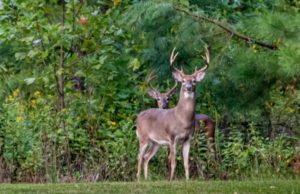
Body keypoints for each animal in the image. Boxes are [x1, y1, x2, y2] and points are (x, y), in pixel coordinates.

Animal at [136, 47, 209, 181]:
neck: (182, 119)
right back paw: (138, 180)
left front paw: (187, 180)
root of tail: (139, 116)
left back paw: (146, 179)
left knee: (146, 157)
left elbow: (186, 163)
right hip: (143, 137)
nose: (189, 87)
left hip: (156, 142)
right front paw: (170, 180)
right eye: (183, 81)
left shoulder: (188, 139)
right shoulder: (172, 138)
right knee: (139, 156)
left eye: (194, 81)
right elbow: (173, 161)